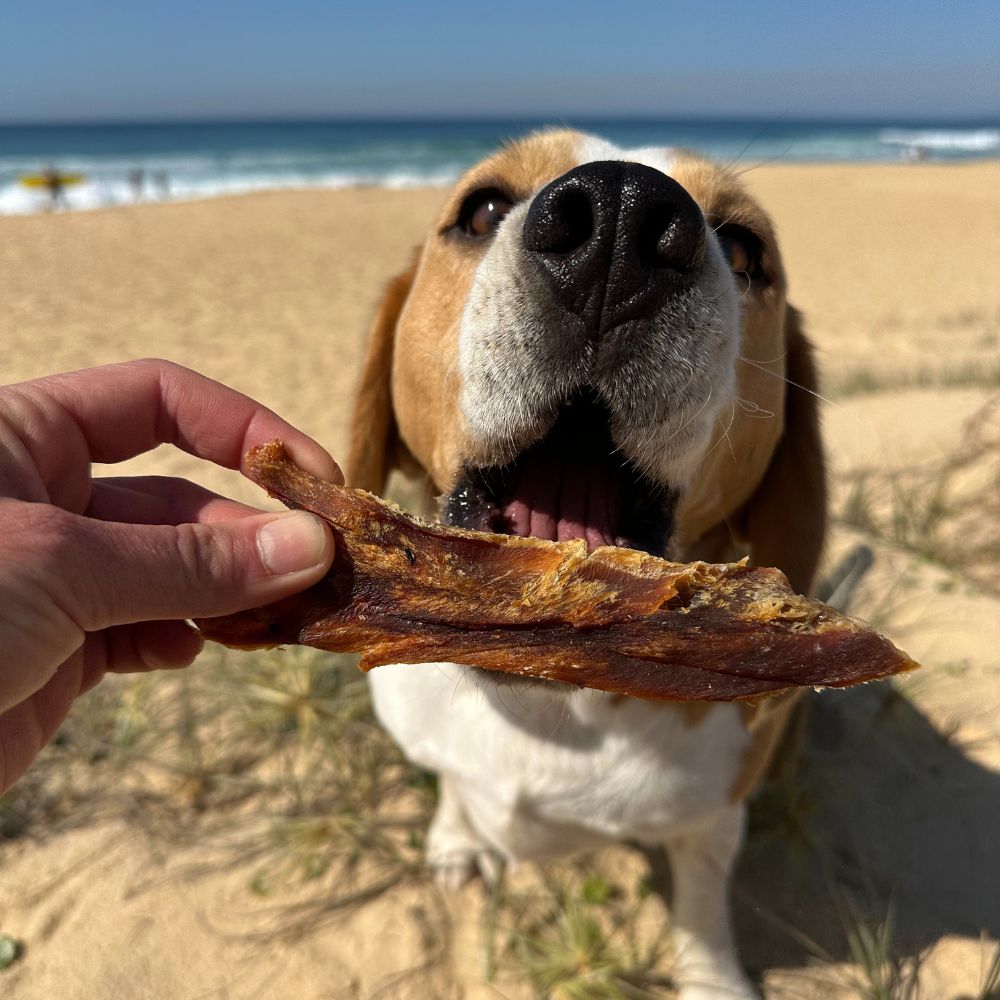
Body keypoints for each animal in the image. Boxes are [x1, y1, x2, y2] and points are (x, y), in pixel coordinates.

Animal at [348, 133, 824, 1000]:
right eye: (482, 208)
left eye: (746, 248)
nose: (621, 219)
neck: (546, 703)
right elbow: (455, 791)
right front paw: (455, 836)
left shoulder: (713, 812)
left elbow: (702, 898)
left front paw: (712, 980)